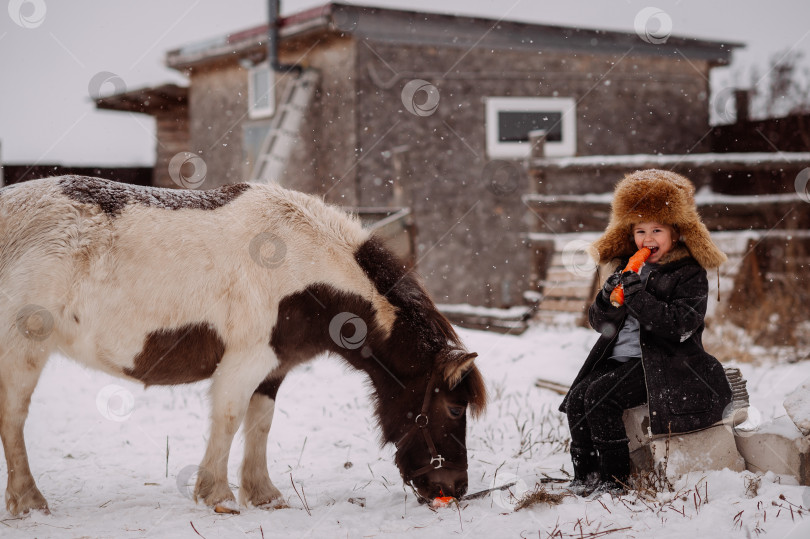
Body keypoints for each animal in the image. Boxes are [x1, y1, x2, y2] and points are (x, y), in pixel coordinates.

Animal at [0, 177, 486, 516]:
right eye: (455, 407)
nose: (456, 488)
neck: (301, 270)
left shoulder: (274, 369)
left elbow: (260, 424)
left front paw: (264, 494)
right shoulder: (246, 360)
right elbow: (229, 420)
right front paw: (218, 496)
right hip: (22, 352)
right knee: (14, 418)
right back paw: (29, 502)